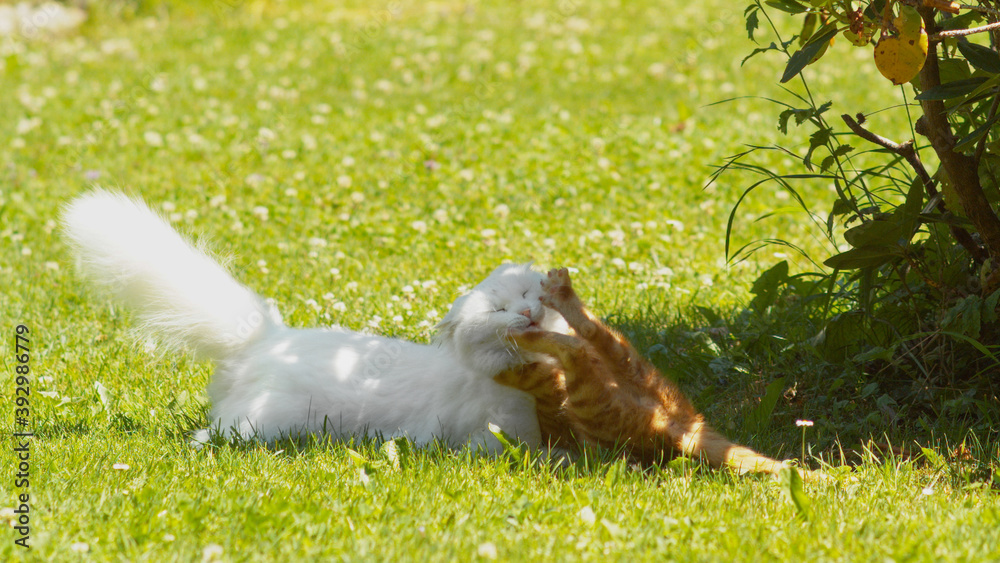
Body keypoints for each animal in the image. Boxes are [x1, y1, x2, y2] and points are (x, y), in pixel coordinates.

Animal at [62, 192, 564, 452]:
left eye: (526, 294)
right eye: (497, 310)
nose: (525, 312)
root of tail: (266, 338)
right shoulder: (497, 435)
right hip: (261, 422)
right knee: (212, 433)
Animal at [496, 268, 784, 476]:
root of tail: (681, 429)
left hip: (589, 403)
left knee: (576, 349)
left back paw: (523, 332)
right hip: (637, 368)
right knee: (592, 333)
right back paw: (562, 295)